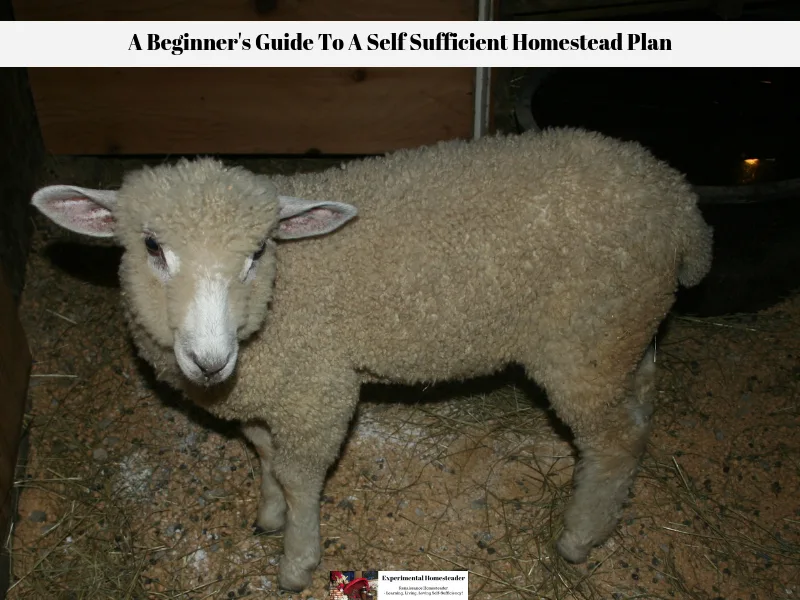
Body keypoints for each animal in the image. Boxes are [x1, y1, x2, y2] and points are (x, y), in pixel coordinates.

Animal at [29, 126, 712, 592]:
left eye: (259, 252)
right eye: (150, 246)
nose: (209, 358)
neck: (282, 296)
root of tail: (681, 207)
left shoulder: (316, 391)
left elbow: (300, 478)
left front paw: (297, 560)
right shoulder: (267, 395)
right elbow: (265, 455)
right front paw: (269, 514)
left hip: (583, 343)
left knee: (613, 441)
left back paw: (576, 537)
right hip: (626, 332)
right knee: (640, 410)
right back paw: (608, 513)